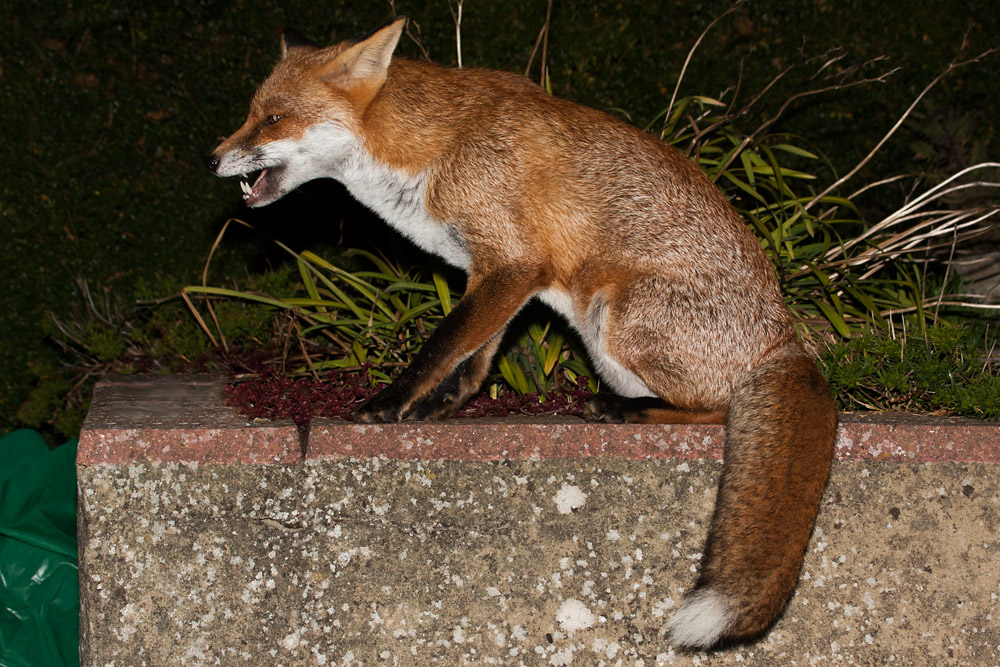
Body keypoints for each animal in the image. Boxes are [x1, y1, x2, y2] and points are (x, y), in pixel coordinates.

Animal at [207, 18, 837, 649]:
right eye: (250, 113)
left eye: (273, 118)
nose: (211, 160)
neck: (432, 150)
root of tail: (789, 343)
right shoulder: (494, 275)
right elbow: (473, 359)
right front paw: (437, 410)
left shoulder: (512, 264)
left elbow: (440, 346)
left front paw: (387, 404)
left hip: (618, 314)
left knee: (719, 407)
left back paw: (622, 411)